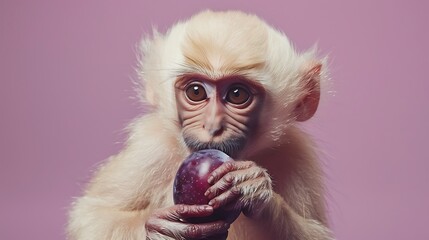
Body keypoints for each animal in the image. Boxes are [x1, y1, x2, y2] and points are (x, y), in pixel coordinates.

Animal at [67, 10, 334, 240]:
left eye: (237, 94)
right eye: (196, 92)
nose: (213, 126)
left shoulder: (296, 155)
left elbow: (316, 233)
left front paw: (255, 189)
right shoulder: (152, 148)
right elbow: (94, 217)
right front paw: (162, 230)